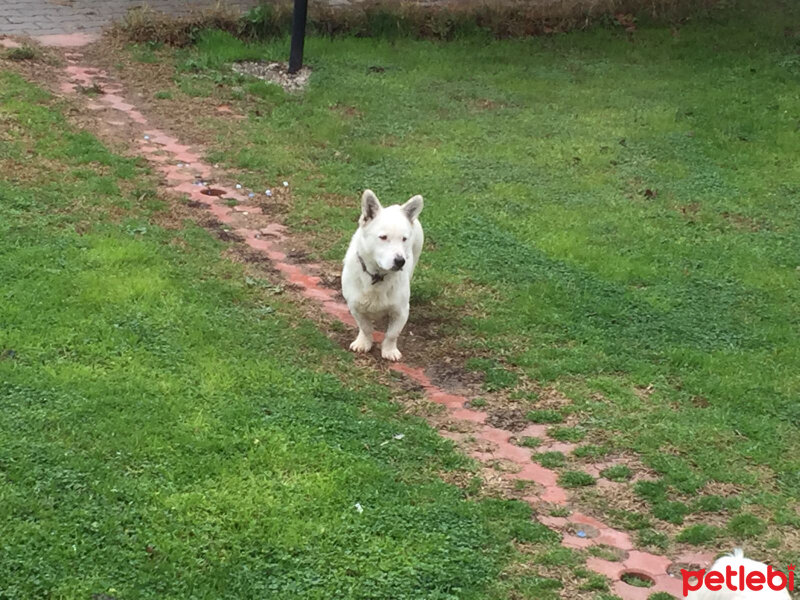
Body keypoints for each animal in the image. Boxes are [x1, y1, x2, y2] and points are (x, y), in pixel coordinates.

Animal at [340, 190, 422, 360]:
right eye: (383, 237)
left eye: (404, 239)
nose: (400, 261)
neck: (377, 275)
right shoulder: (355, 306)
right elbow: (365, 328)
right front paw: (364, 342)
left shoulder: (401, 311)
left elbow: (392, 334)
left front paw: (389, 350)